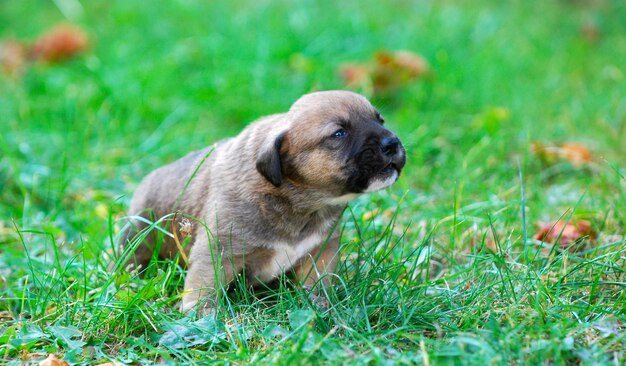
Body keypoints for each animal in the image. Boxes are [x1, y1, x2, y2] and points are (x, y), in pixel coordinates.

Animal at [118, 90, 404, 314]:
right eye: (339, 133)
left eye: (380, 120)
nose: (393, 143)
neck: (298, 198)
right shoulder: (217, 252)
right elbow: (204, 288)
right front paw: (202, 318)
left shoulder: (321, 251)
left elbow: (317, 283)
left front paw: (320, 306)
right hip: (137, 237)